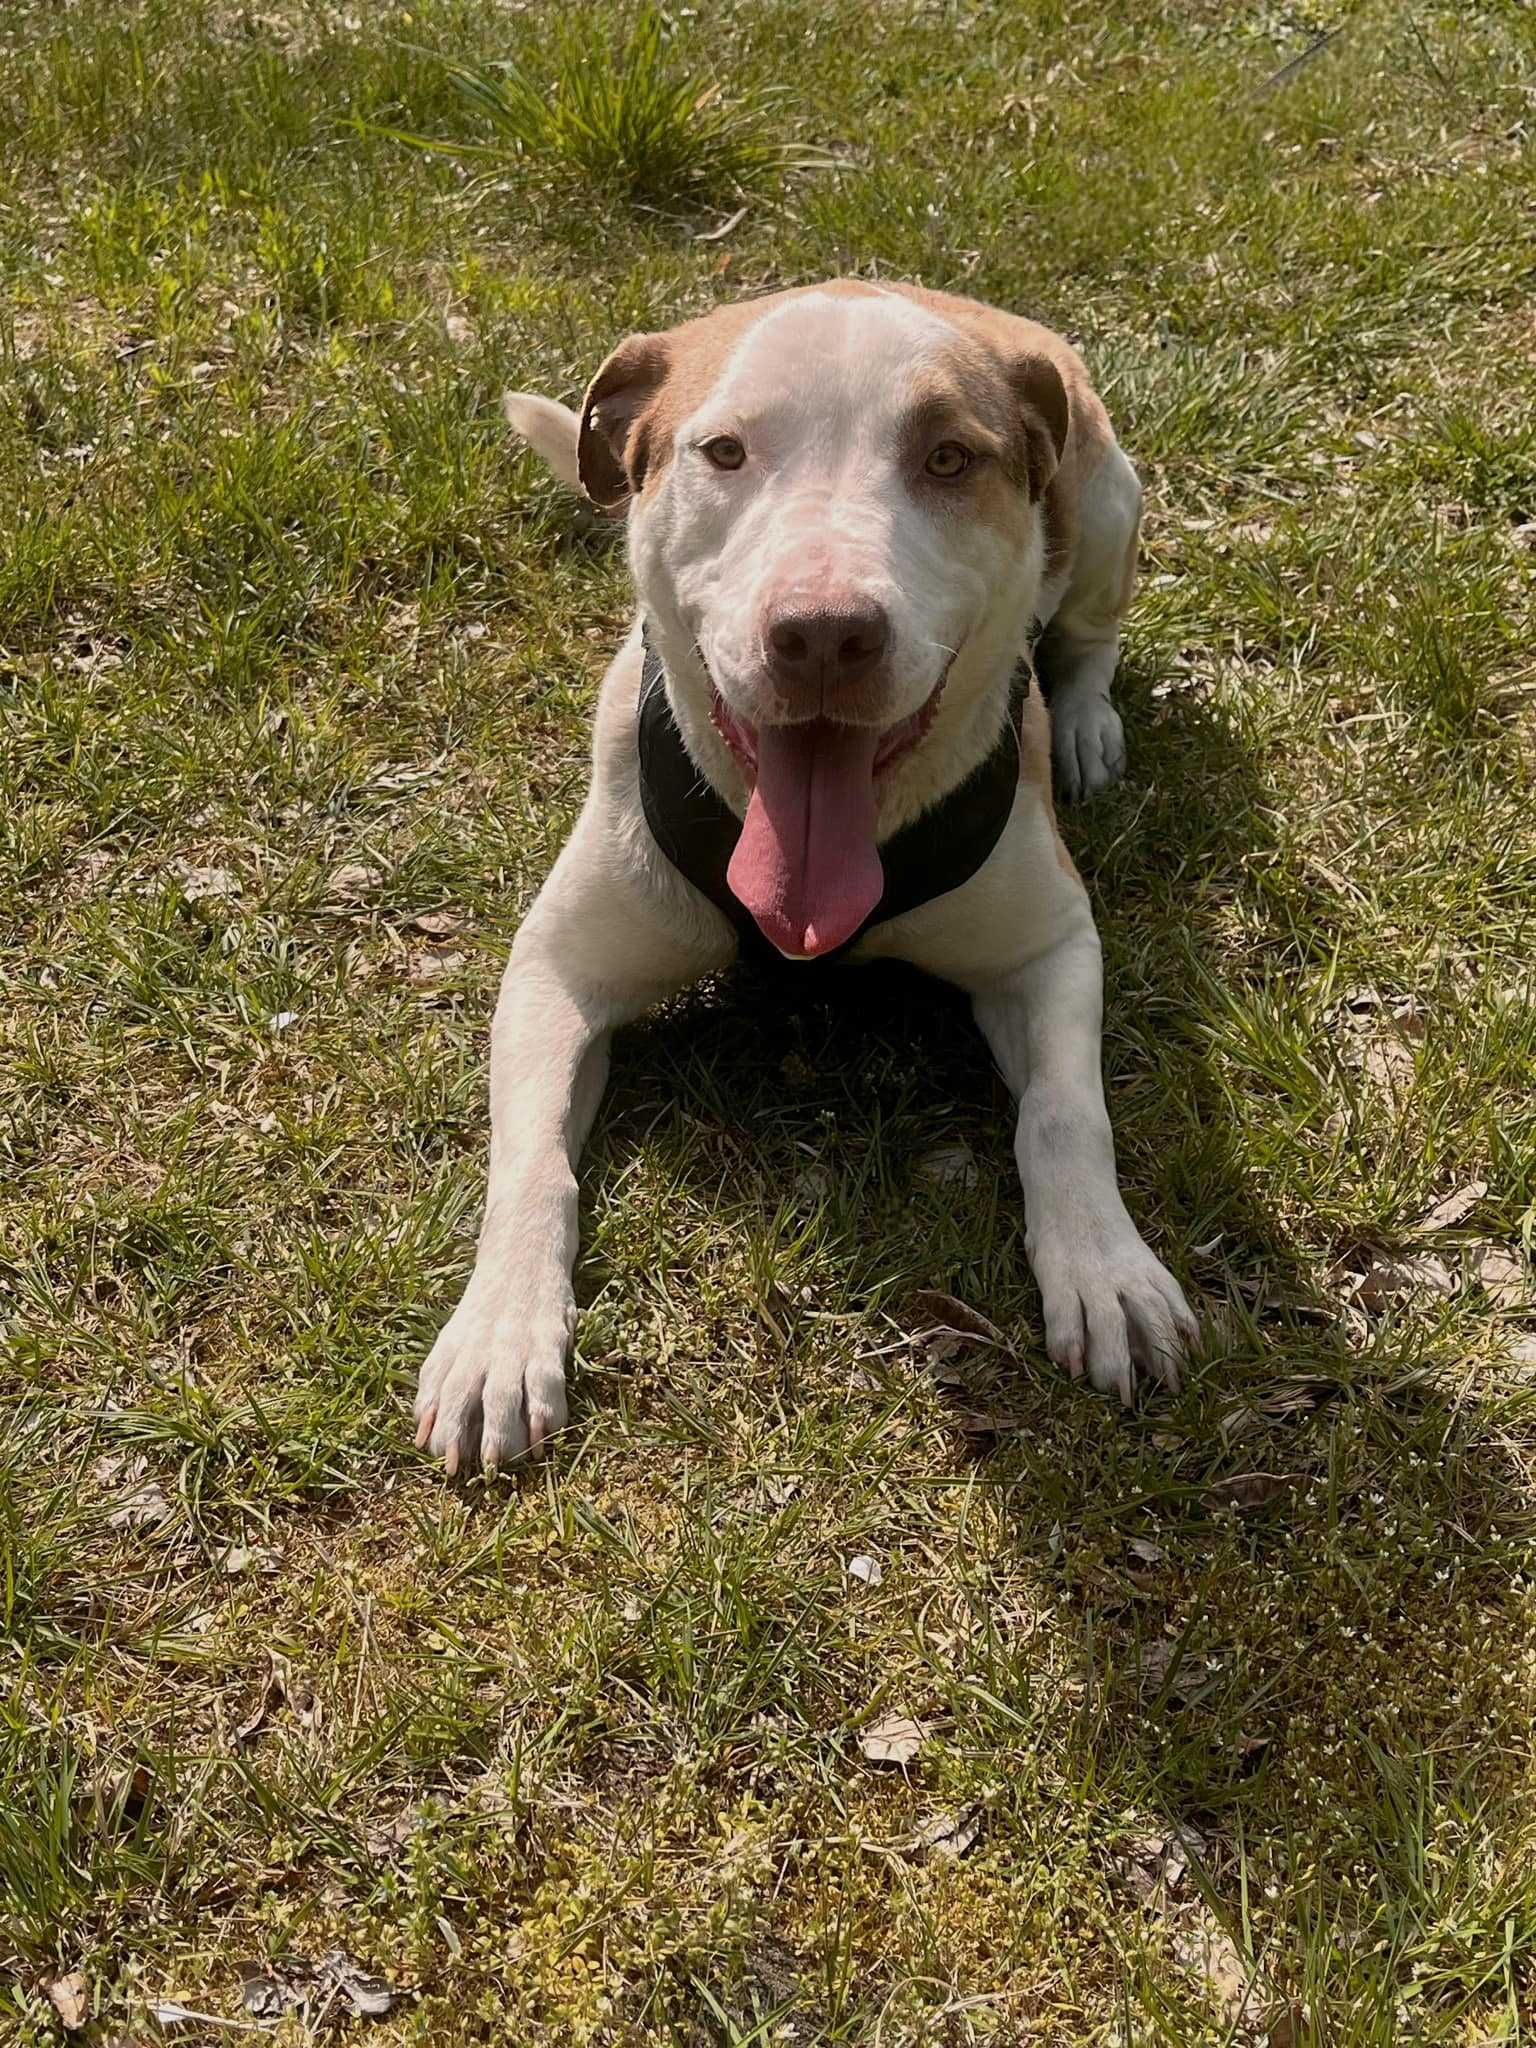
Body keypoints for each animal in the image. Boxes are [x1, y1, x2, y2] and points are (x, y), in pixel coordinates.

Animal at [411, 284, 1204, 1474]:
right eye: (725, 451)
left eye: (948, 458)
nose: (825, 634)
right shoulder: (555, 973)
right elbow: (531, 1159)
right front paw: (500, 1331)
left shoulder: (1048, 947)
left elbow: (1067, 1113)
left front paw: (1106, 1269)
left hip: (1111, 502)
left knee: (1093, 636)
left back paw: (1085, 724)